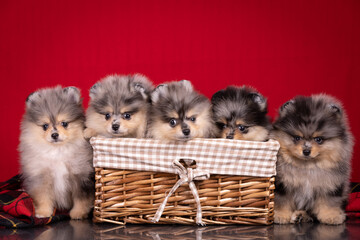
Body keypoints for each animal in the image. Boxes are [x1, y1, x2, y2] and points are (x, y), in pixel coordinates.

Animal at [19, 86, 94, 219]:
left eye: (64, 123)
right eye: (45, 126)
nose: (54, 135)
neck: (58, 151)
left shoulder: (81, 176)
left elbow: (81, 199)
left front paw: (78, 213)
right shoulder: (41, 177)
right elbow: (43, 197)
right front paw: (43, 213)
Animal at [272, 94, 352, 225]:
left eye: (318, 139)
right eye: (297, 138)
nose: (306, 151)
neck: (307, 166)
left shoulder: (330, 184)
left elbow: (330, 202)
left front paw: (331, 216)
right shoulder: (282, 184)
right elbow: (281, 200)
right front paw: (280, 215)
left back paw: (301, 215)